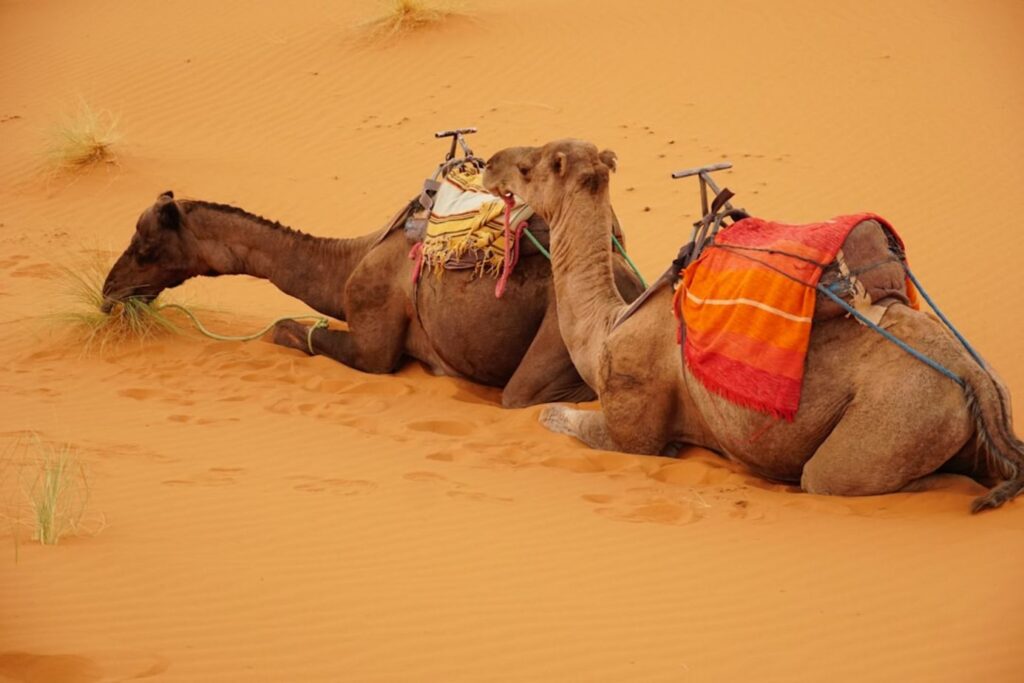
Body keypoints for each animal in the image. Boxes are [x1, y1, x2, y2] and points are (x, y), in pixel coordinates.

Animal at [483, 139, 1024, 511]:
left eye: (528, 167)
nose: (489, 163)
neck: (604, 328)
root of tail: (973, 375)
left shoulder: (632, 426)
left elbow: (554, 417)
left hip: (893, 422)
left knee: (839, 479)